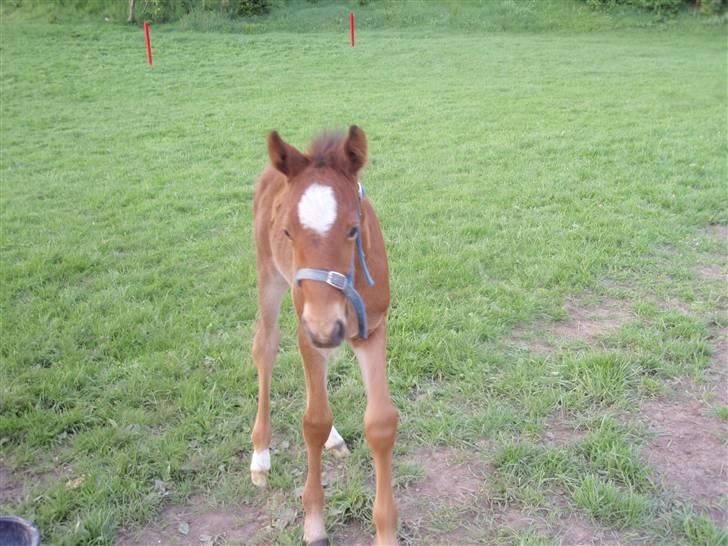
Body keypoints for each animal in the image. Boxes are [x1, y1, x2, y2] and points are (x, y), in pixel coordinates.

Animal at [250, 125, 398, 540]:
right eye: (286, 231)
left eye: (353, 229)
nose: (324, 327)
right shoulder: (309, 334)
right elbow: (313, 422)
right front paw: (314, 523)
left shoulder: (371, 330)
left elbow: (380, 423)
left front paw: (386, 533)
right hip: (269, 277)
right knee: (264, 347)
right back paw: (260, 456)